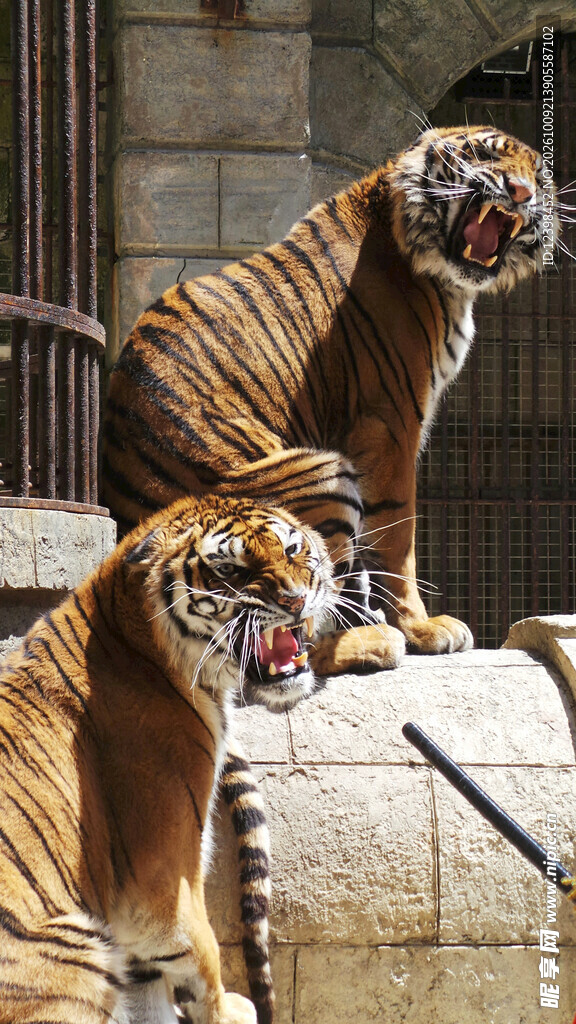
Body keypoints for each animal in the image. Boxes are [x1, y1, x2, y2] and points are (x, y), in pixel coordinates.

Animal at [0, 493, 335, 1024]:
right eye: (230, 570)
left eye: (291, 548)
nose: (296, 600)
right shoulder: (161, 873)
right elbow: (201, 952)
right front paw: (229, 1011)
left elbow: (148, 990)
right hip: (75, 947)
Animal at [101, 124, 552, 675]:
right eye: (485, 152)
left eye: (539, 174)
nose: (522, 193)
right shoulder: (389, 423)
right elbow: (397, 536)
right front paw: (421, 629)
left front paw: (378, 614)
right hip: (323, 475)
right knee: (286, 634)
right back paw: (377, 641)